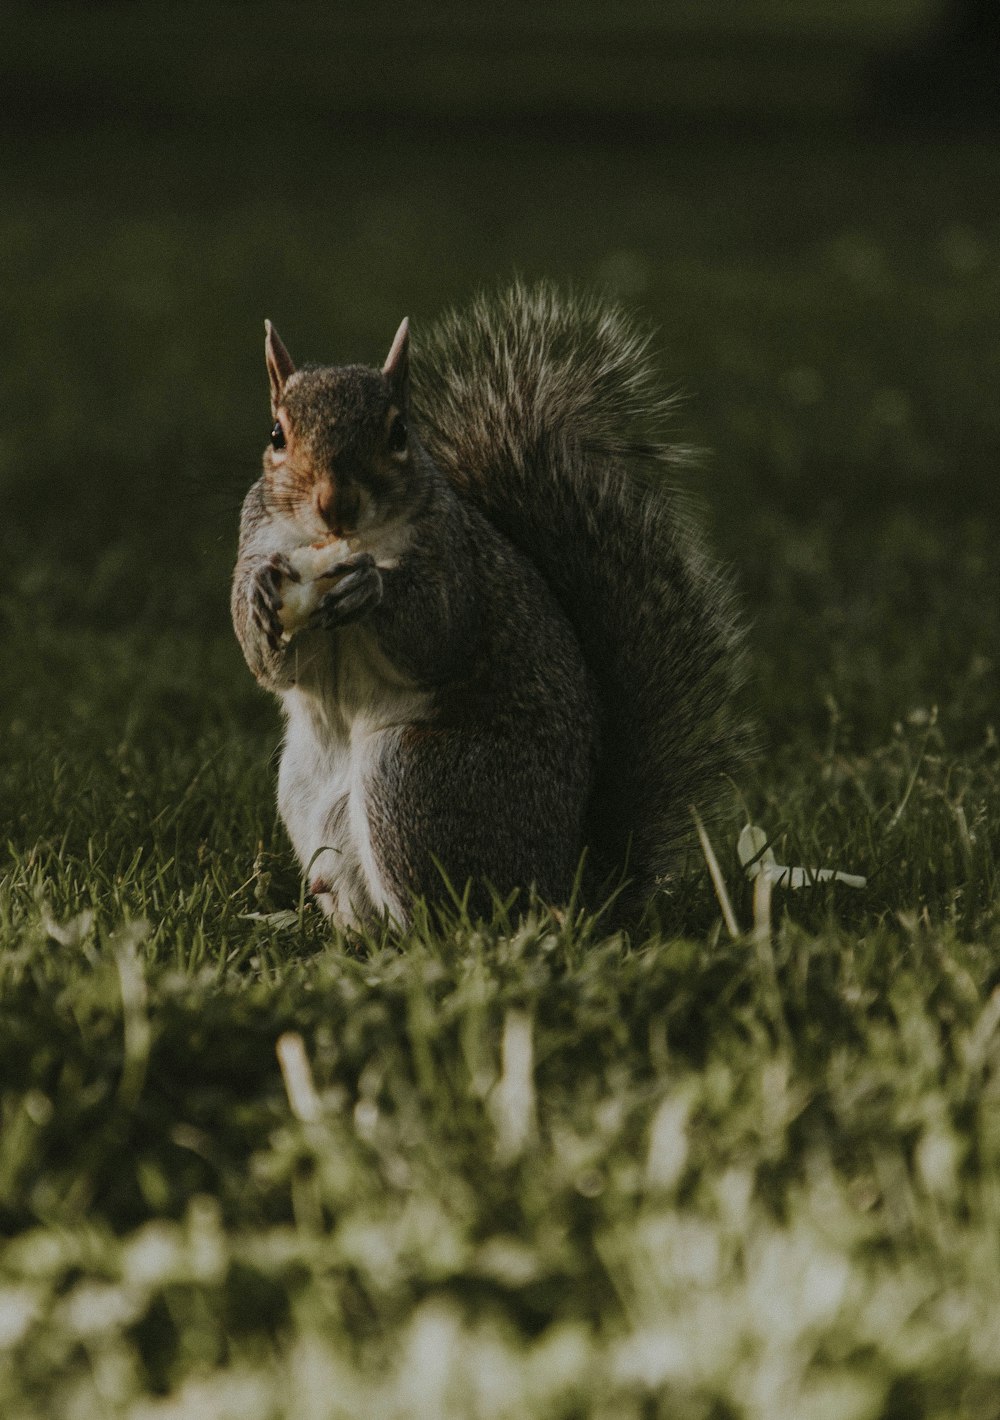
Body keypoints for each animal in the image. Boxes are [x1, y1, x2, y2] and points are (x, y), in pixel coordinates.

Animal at [232, 281, 750, 925]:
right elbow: (272, 667)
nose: (336, 504)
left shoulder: (455, 562)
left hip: (420, 781)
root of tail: (568, 883)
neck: (348, 540)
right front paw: (260, 597)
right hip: (309, 793)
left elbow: (438, 634)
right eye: (276, 435)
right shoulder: (256, 536)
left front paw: (371, 588)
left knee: (454, 918)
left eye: (398, 433)